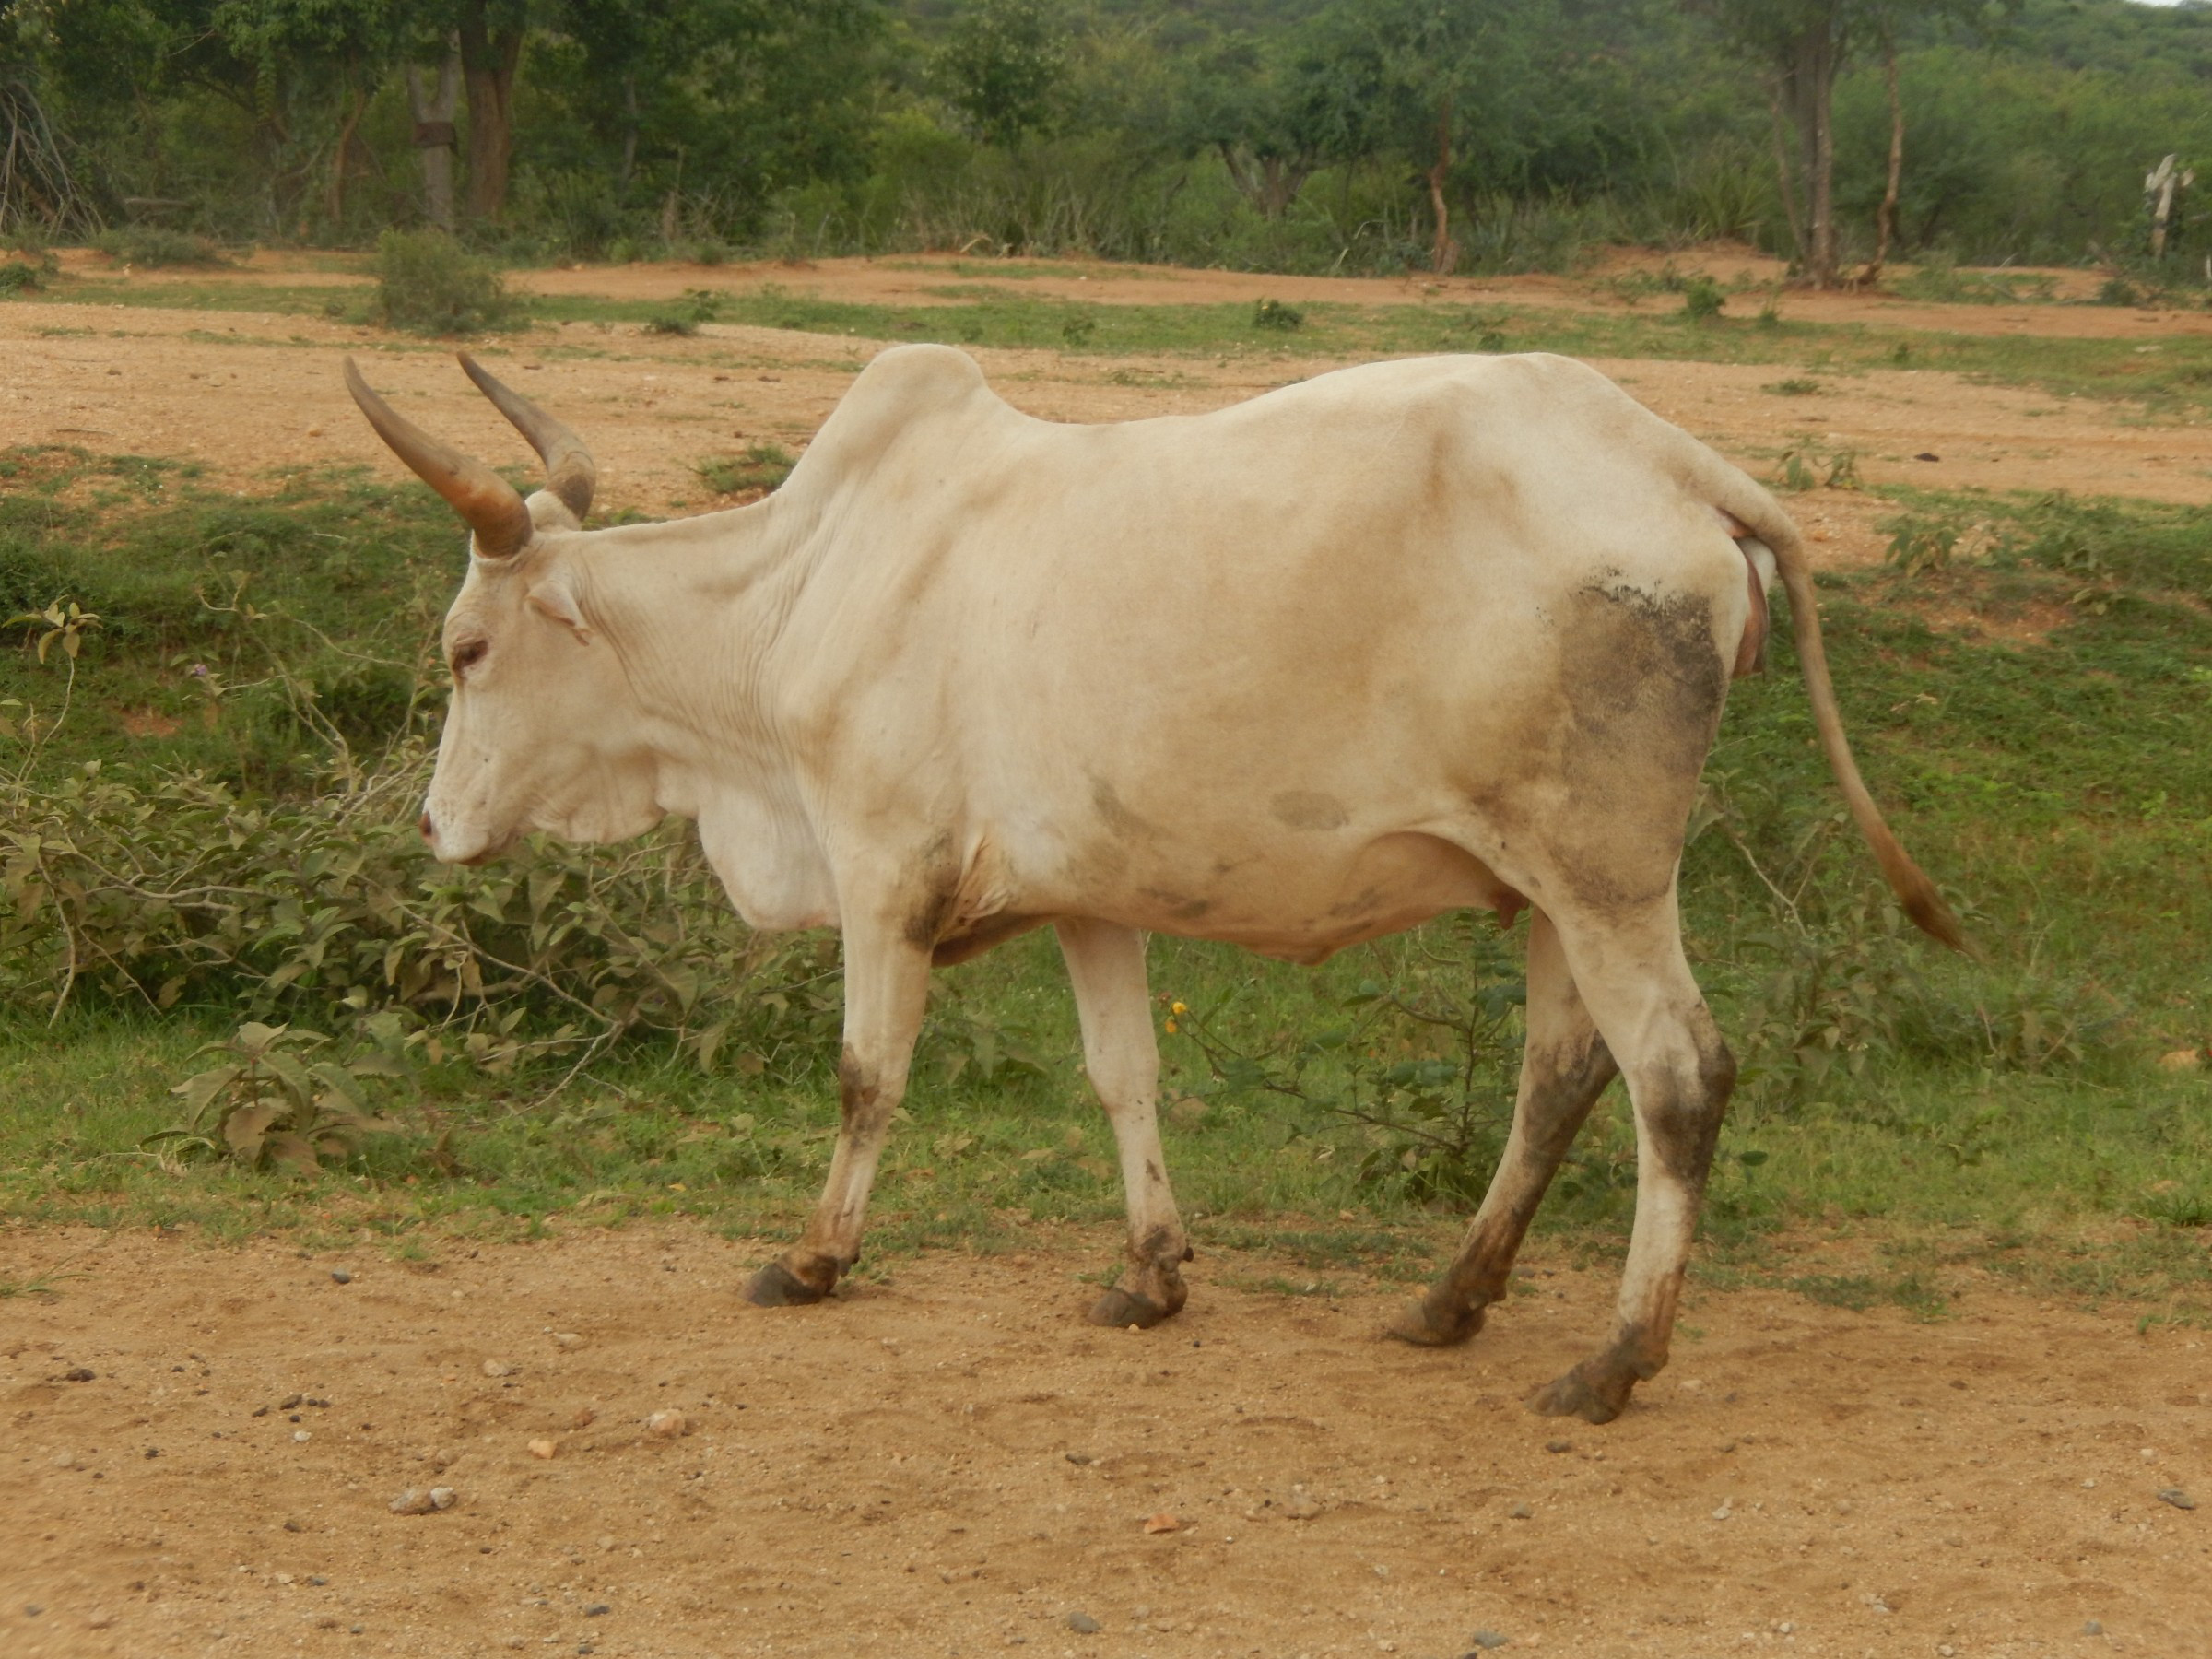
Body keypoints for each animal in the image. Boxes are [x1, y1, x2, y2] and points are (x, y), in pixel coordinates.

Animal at [345, 345, 1955, 1424]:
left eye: (468, 651)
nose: (433, 825)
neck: (798, 594)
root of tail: (1676, 462)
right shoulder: (1090, 900)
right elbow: (1124, 1078)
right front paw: (1152, 1275)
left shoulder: (880, 868)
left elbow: (867, 1078)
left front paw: (812, 1262)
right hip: (1553, 890)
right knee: (1564, 1074)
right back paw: (1450, 1301)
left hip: (1609, 877)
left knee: (1678, 1076)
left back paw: (1614, 1361)